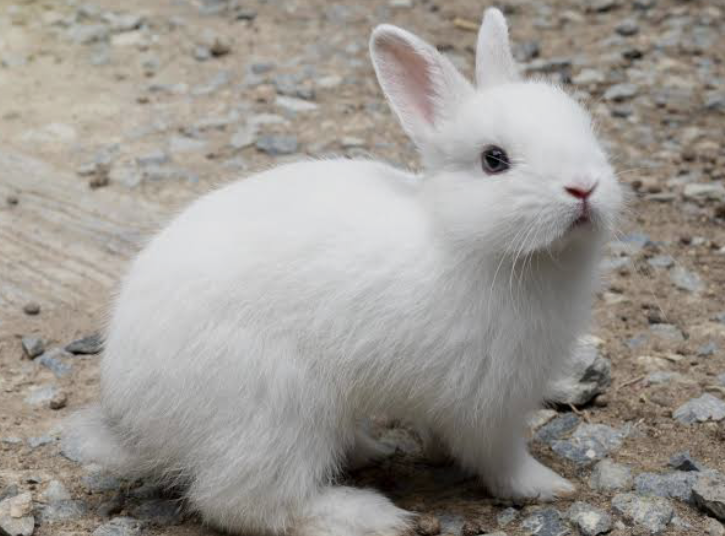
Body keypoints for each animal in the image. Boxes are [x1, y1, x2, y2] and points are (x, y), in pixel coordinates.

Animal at [67, 7, 623, 536]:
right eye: (494, 160)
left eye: (586, 128)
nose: (584, 187)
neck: (463, 239)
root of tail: (133, 418)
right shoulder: (486, 403)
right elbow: (500, 457)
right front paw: (549, 487)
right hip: (275, 412)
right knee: (242, 503)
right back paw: (368, 515)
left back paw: (368, 451)